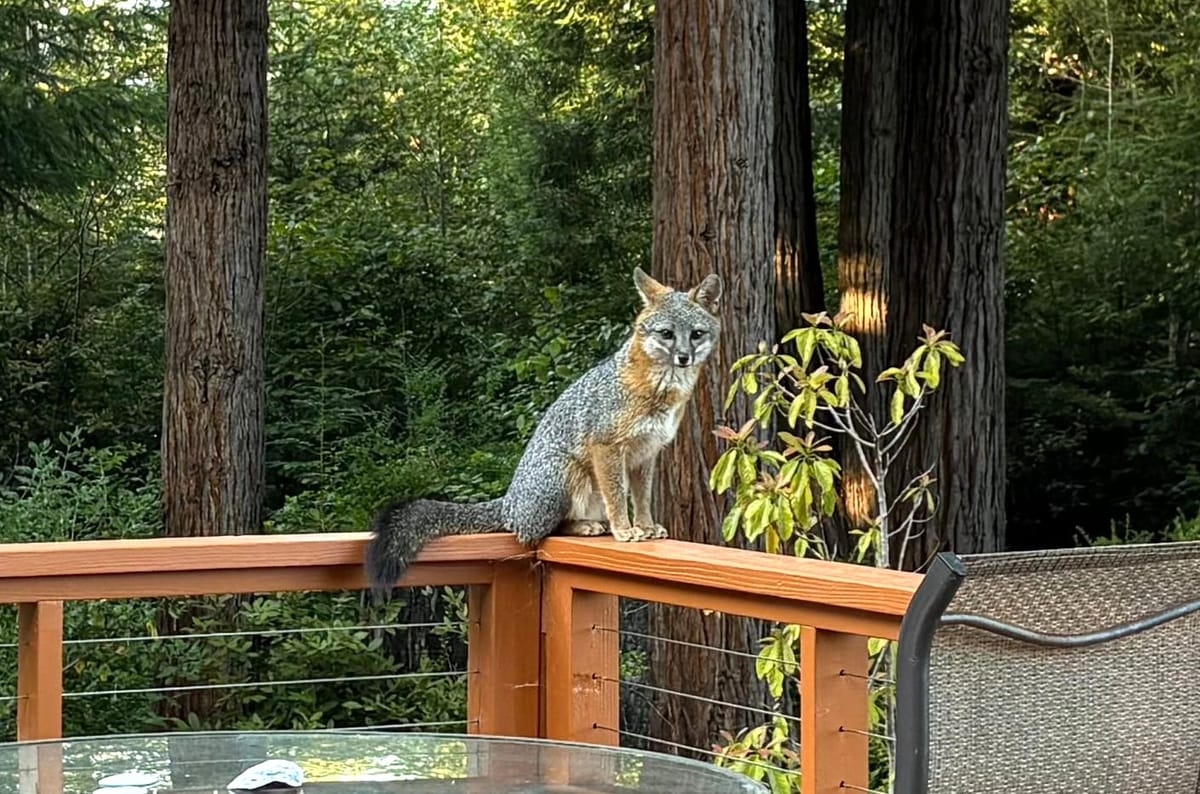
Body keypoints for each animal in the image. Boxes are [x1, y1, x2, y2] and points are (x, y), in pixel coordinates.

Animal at [364, 267, 722, 596]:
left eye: (696, 334)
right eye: (666, 333)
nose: (684, 357)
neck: (659, 392)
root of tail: (510, 502)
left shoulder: (646, 453)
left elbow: (642, 498)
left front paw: (645, 526)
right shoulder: (606, 446)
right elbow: (618, 497)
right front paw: (624, 530)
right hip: (568, 473)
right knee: (538, 532)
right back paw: (587, 526)